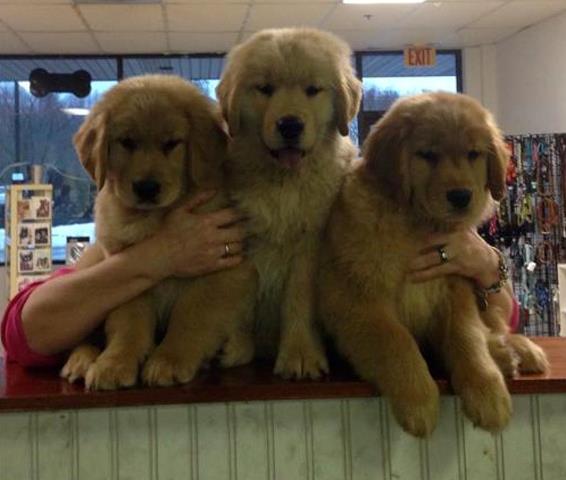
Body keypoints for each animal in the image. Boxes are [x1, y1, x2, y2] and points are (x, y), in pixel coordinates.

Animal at [60, 75, 258, 390]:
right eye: (127, 142)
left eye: (171, 144)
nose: (146, 188)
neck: (155, 219)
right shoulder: (125, 272)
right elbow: (129, 325)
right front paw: (115, 363)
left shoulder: (221, 273)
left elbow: (190, 317)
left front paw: (169, 360)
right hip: (93, 264)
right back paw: (81, 361)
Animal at [217, 27, 364, 378]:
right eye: (265, 89)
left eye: (313, 90)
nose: (290, 125)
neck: (284, 182)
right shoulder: (243, 238)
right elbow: (241, 293)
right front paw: (237, 345)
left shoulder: (310, 244)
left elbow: (298, 299)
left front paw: (300, 354)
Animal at [320, 92, 552, 436]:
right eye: (427, 155)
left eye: (473, 154)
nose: (461, 196)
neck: (416, 225)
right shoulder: (359, 300)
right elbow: (396, 342)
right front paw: (417, 398)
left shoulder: (456, 291)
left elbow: (467, 340)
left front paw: (487, 391)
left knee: (492, 327)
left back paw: (517, 351)